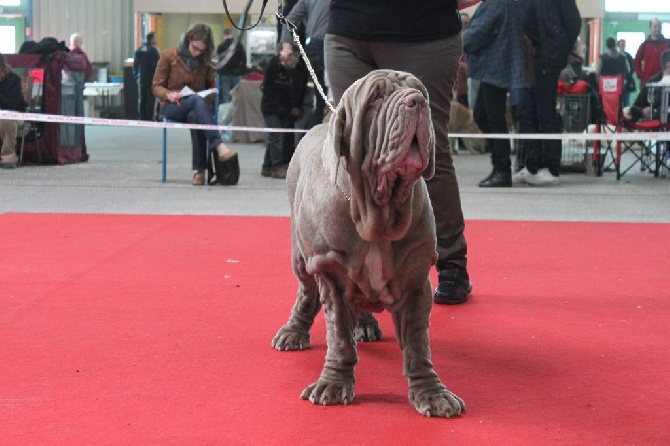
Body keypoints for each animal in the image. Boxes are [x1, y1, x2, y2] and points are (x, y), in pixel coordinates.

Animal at [272, 69, 468, 418]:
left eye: (421, 92)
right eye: (376, 97)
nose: (417, 102)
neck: (377, 211)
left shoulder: (416, 282)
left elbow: (418, 345)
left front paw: (432, 393)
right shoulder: (330, 274)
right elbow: (339, 338)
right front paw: (333, 384)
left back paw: (364, 325)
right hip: (301, 257)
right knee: (306, 293)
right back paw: (293, 331)